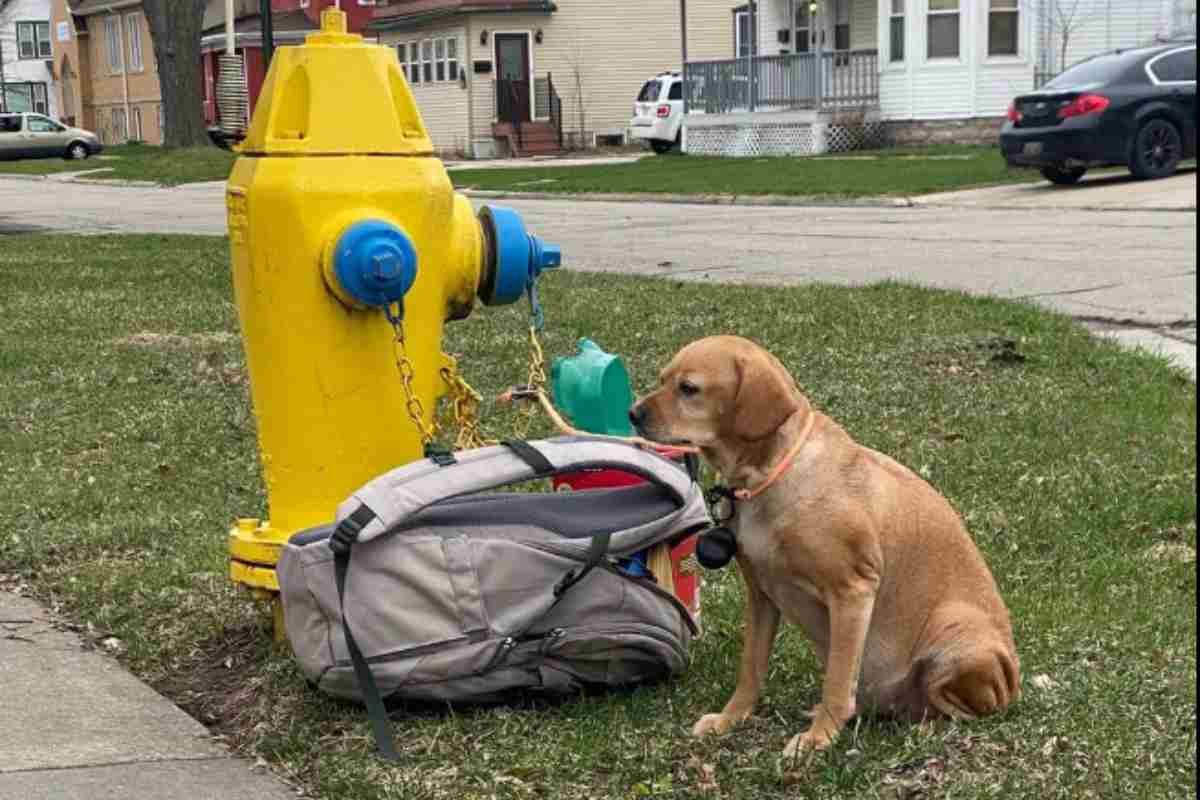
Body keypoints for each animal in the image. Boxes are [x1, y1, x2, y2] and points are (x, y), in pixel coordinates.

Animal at [628, 335, 1022, 758]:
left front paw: (819, 738)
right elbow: (751, 668)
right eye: (663, 379)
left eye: (689, 388)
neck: (768, 475)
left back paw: (925, 727)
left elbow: (836, 680)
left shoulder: (853, 590)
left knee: (959, 708)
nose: (632, 413)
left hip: (956, 633)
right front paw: (731, 719)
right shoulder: (761, 594)